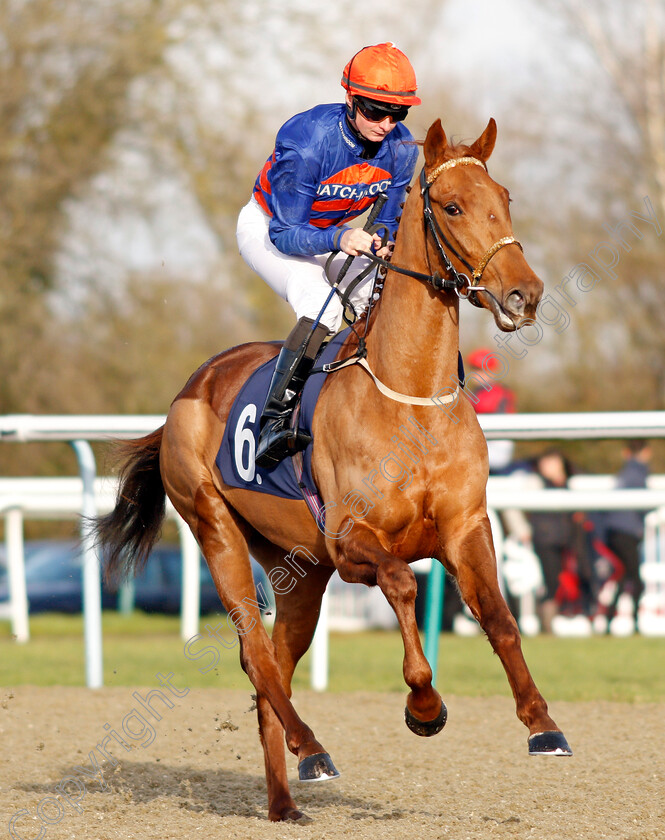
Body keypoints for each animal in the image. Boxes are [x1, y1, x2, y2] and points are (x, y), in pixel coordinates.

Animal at [96, 116, 572, 820]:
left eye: (505, 199)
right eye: (452, 206)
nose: (525, 294)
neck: (411, 400)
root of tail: (190, 388)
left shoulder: (465, 528)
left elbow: (500, 618)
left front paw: (543, 725)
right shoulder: (351, 543)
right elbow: (401, 582)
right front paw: (424, 706)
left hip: (299, 571)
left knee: (273, 662)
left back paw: (283, 798)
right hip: (216, 528)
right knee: (257, 655)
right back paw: (312, 748)